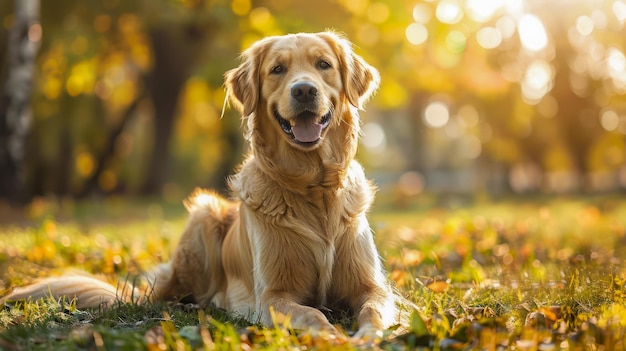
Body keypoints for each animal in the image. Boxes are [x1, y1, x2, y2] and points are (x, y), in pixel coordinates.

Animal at [1, 31, 400, 340]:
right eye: (277, 69)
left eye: (323, 65)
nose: (303, 90)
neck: (312, 187)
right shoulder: (272, 296)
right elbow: (312, 313)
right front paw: (334, 337)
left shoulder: (372, 287)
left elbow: (374, 311)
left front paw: (369, 337)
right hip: (203, 216)